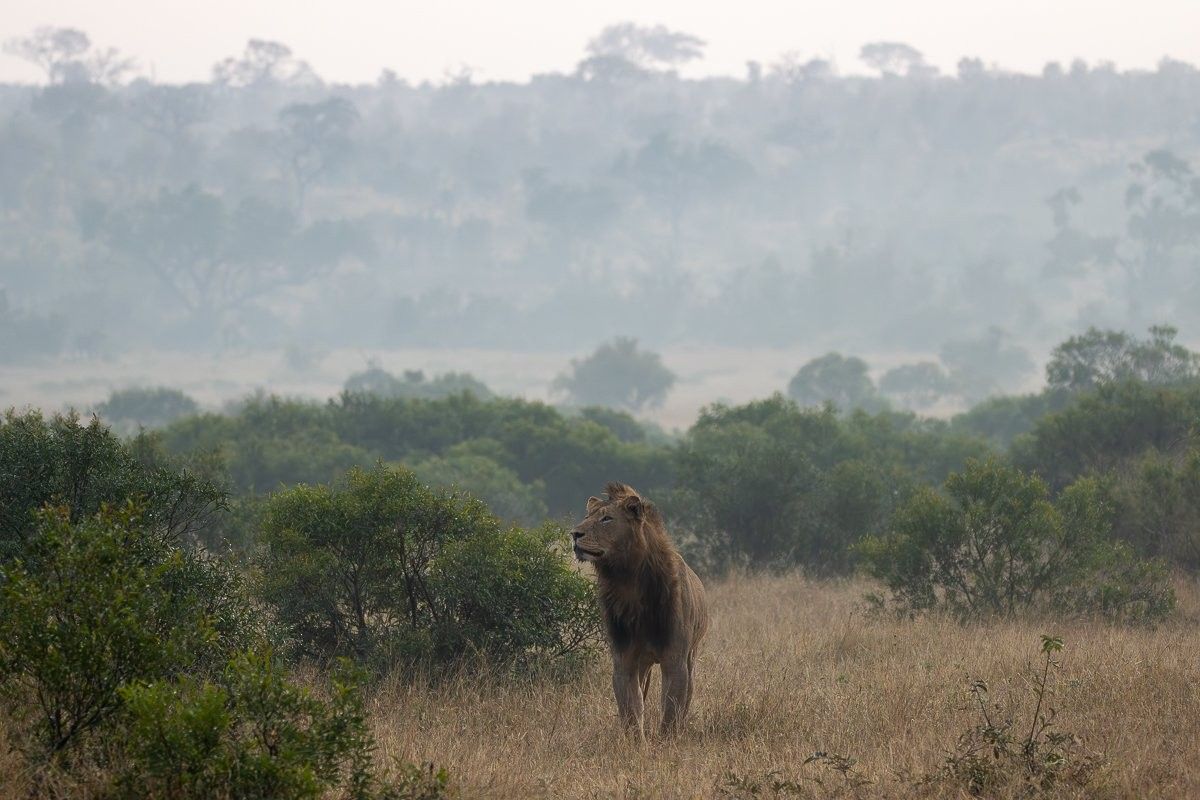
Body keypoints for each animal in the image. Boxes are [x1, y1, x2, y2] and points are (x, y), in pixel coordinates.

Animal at [571, 482, 709, 738]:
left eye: (606, 518)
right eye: (587, 517)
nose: (574, 534)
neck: (627, 580)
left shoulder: (675, 660)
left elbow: (671, 709)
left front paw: (667, 741)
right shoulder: (624, 660)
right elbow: (631, 710)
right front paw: (636, 742)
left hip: (691, 657)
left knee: (687, 696)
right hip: (643, 663)